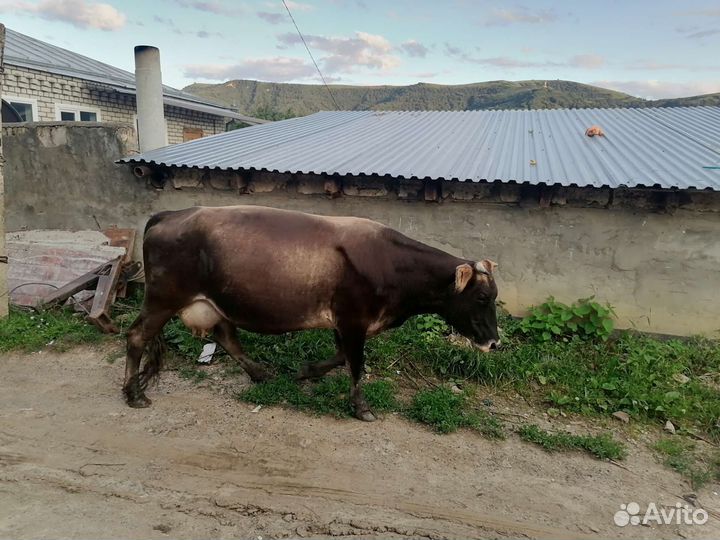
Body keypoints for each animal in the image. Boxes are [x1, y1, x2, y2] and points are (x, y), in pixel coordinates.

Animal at [124, 205, 499, 421]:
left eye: (495, 295)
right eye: (482, 297)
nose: (495, 343)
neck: (392, 266)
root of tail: (169, 215)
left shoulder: (344, 321)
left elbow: (341, 357)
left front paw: (306, 371)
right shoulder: (353, 318)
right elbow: (356, 364)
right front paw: (362, 408)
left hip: (215, 302)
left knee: (227, 337)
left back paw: (260, 374)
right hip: (162, 298)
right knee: (137, 336)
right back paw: (134, 394)